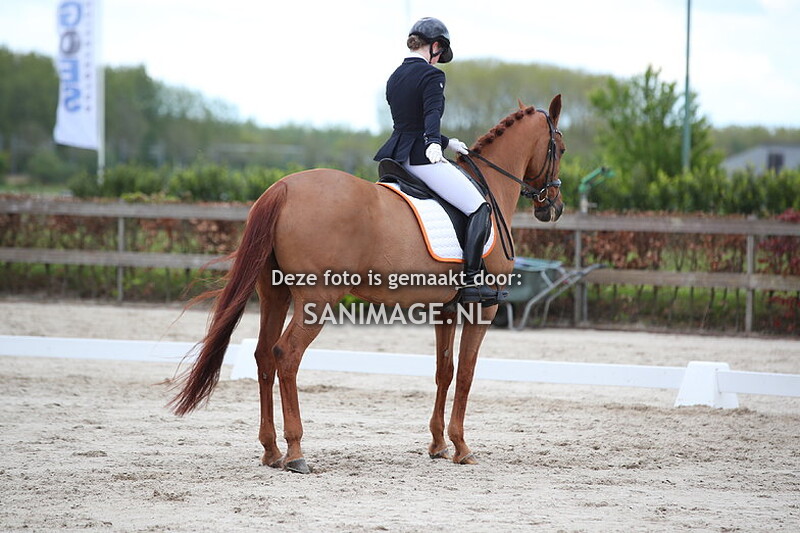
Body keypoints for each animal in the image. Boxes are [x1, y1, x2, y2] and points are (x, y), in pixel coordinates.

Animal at [170, 95, 566, 474]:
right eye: (560, 148)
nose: (553, 207)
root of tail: (282, 188)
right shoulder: (483, 305)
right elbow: (467, 372)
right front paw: (462, 447)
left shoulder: (445, 307)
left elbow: (445, 370)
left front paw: (438, 445)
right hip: (316, 299)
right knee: (287, 354)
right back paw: (296, 453)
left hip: (274, 294)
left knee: (264, 354)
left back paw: (271, 451)